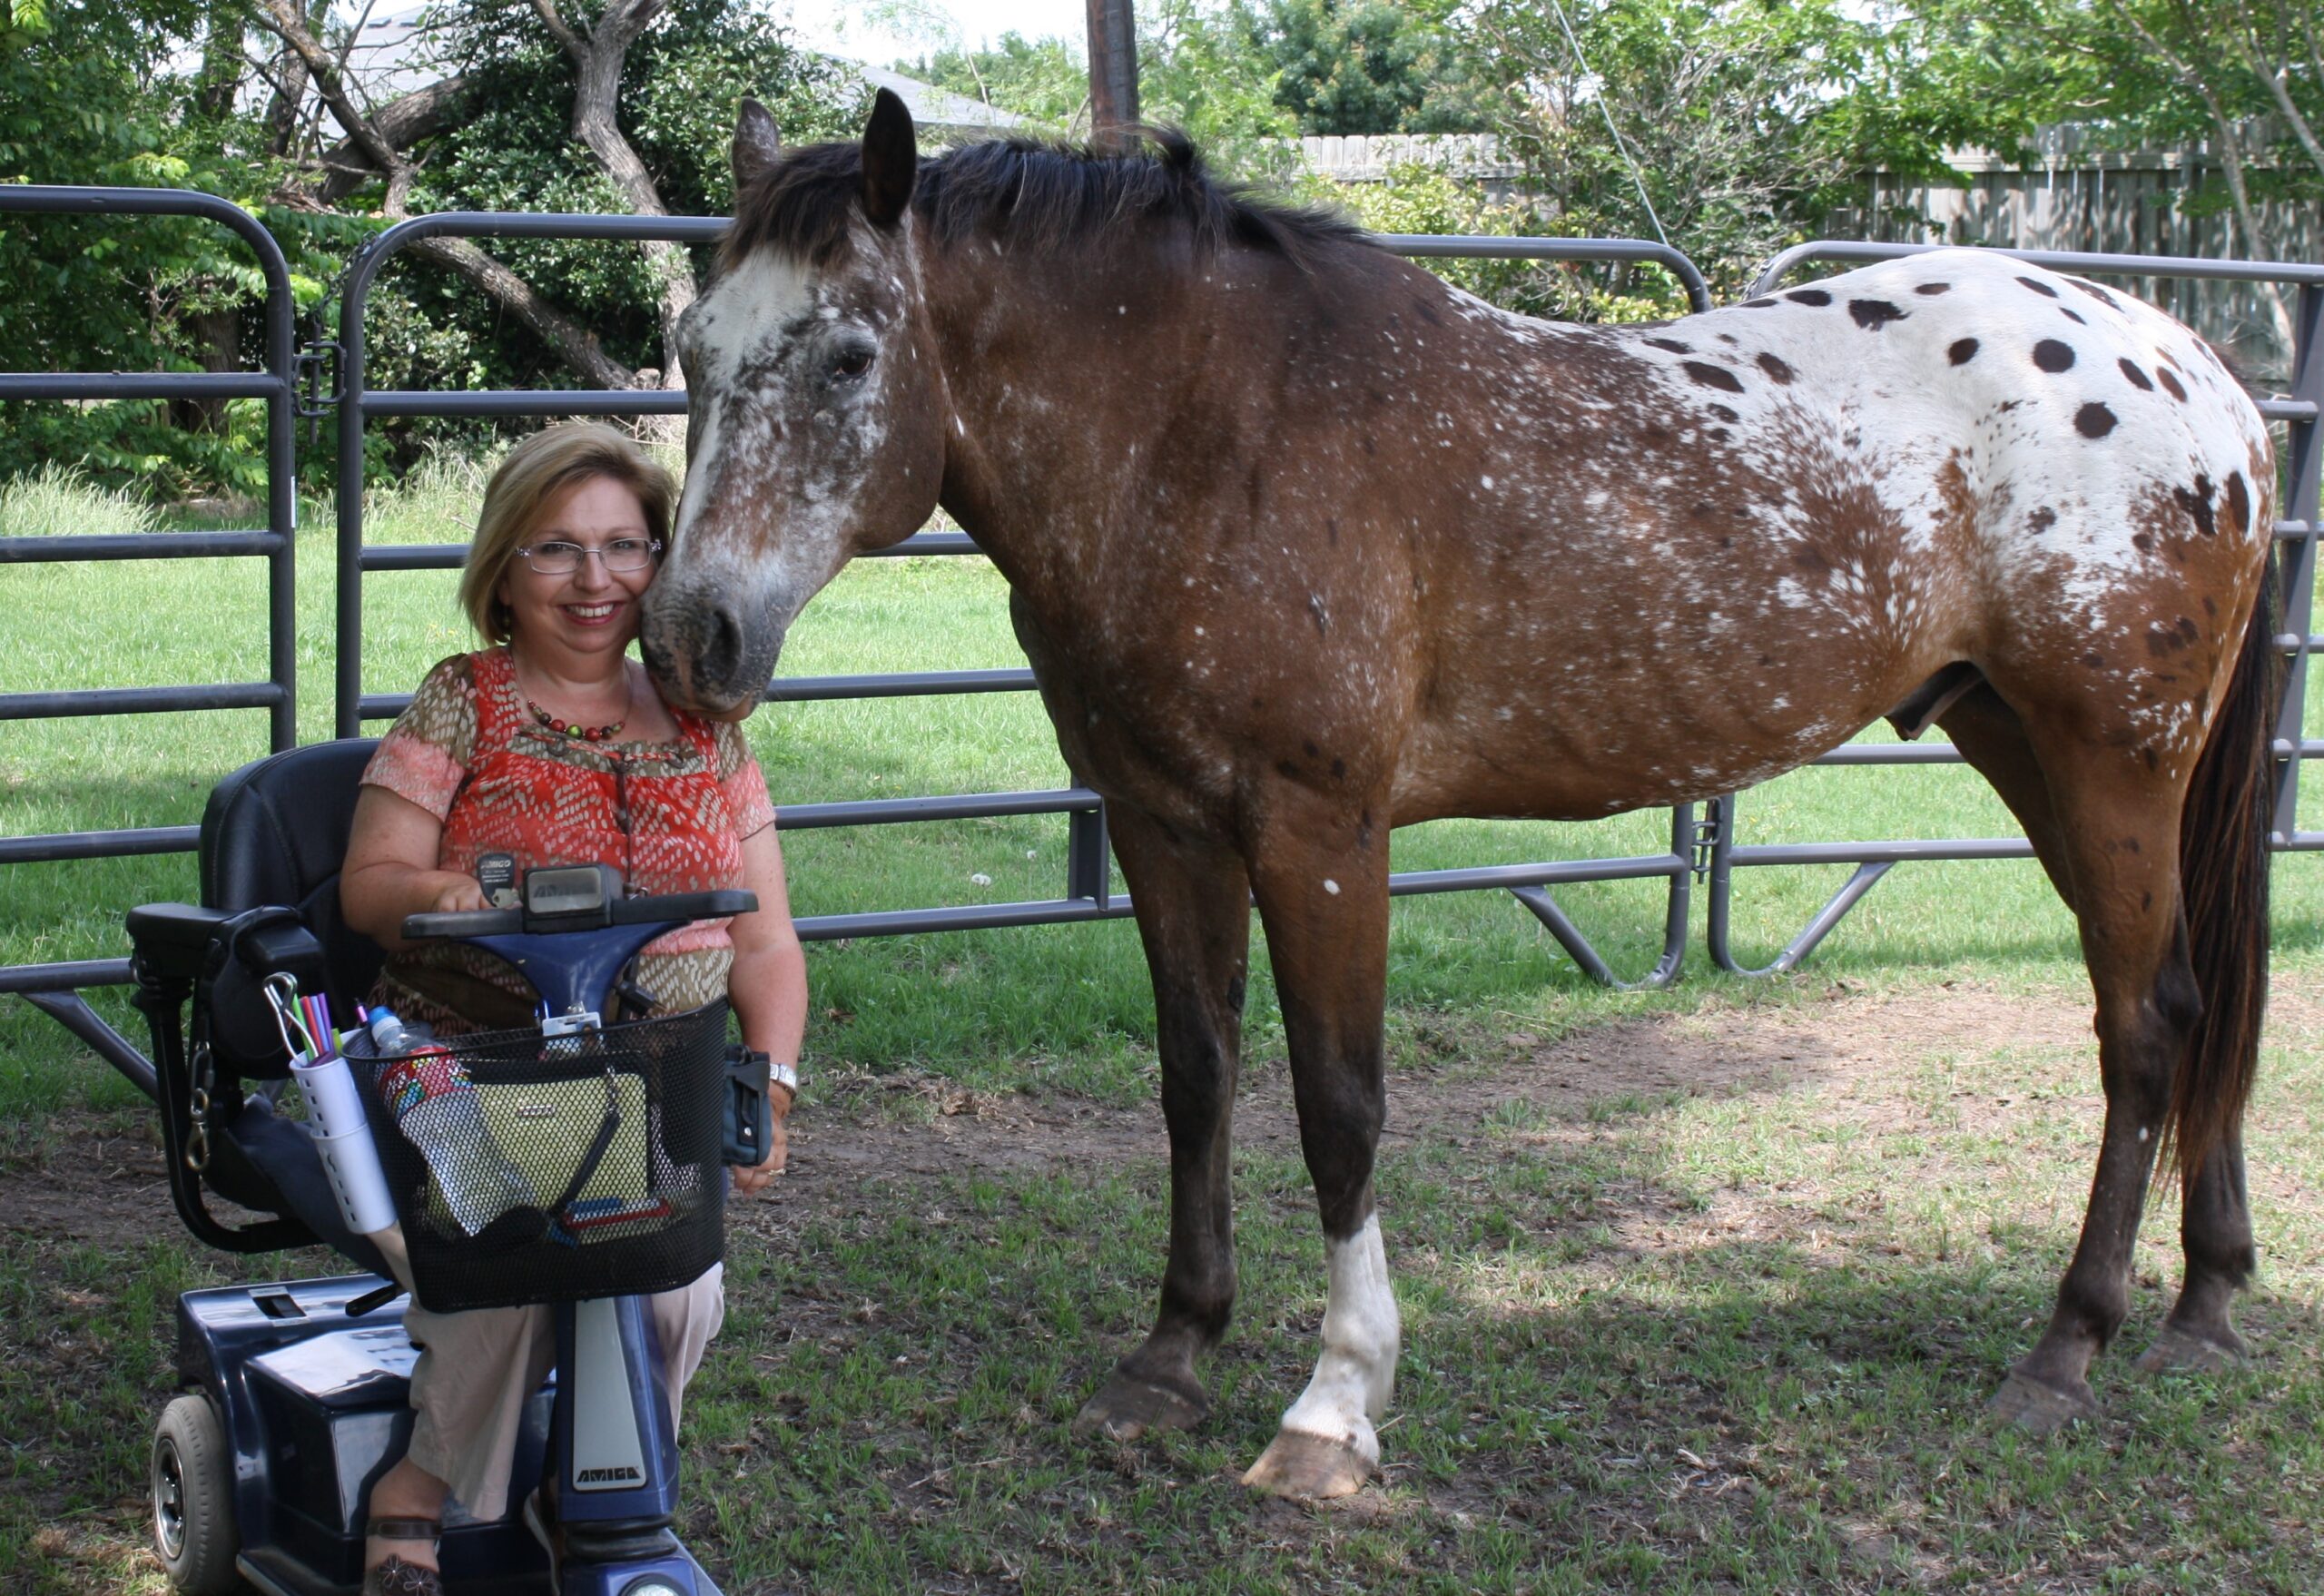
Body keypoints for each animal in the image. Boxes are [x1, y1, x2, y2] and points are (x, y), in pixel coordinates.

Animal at [645, 93, 2277, 1495]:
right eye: (691, 346)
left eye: (849, 355)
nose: (690, 632)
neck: (1211, 433)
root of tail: (2194, 373)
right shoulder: (1165, 823)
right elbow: (1195, 1081)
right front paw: (1174, 1351)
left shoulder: (1320, 830)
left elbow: (1338, 1105)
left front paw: (1334, 1402)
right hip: (2029, 750)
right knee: (2195, 1007)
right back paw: (2204, 1302)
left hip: (2112, 760)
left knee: (2147, 1024)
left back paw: (2066, 1348)